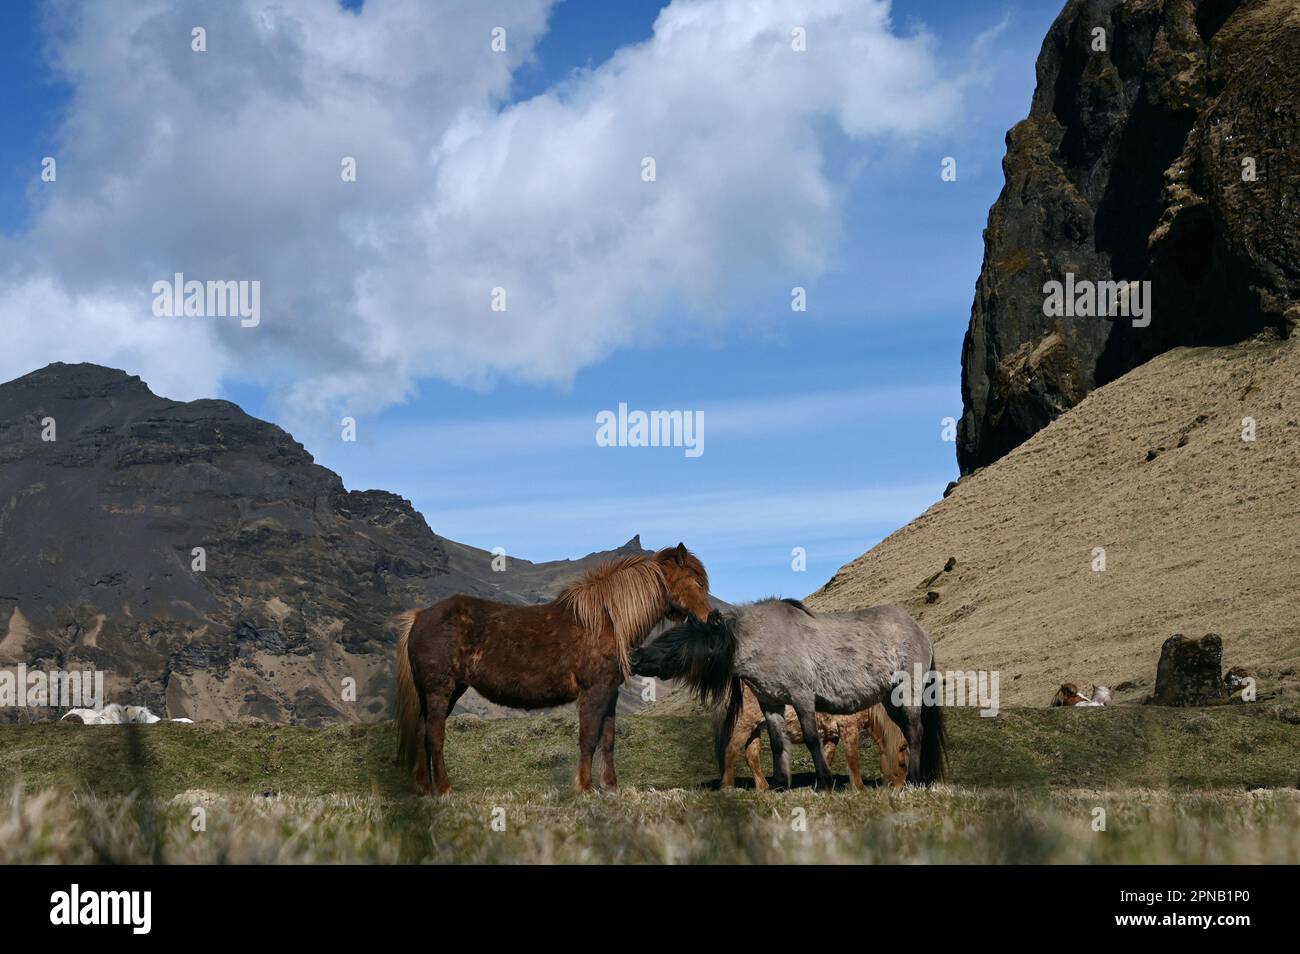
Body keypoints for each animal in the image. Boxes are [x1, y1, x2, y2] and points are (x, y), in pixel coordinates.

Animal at [396, 543, 712, 794]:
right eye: (697, 582)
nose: (712, 618)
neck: (606, 621)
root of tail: (420, 616)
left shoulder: (609, 693)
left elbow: (608, 740)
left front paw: (611, 786)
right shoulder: (593, 692)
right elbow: (588, 739)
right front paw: (585, 788)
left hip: (444, 692)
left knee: (423, 731)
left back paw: (425, 788)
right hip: (440, 690)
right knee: (434, 735)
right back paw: (444, 790)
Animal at [718, 682, 909, 790]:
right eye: (902, 764)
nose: (901, 788)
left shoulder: (832, 735)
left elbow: (827, 757)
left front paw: (823, 785)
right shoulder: (849, 729)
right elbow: (853, 760)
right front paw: (860, 788)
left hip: (755, 729)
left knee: (752, 756)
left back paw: (764, 788)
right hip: (744, 725)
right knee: (731, 751)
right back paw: (728, 787)